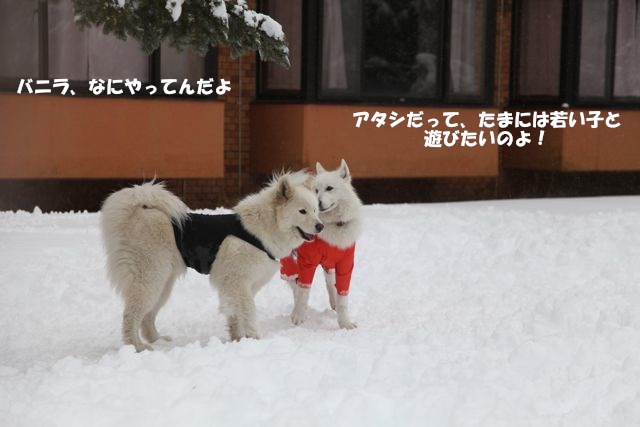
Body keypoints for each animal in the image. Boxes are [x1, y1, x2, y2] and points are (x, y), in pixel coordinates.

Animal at [102, 172, 322, 352]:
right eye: (302, 211)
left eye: (315, 210)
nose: (320, 226)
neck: (260, 229)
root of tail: (138, 209)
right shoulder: (237, 281)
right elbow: (248, 311)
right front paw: (255, 339)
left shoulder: (240, 286)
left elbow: (235, 314)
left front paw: (238, 339)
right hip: (150, 278)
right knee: (131, 315)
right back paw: (136, 347)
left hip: (164, 284)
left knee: (148, 316)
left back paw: (159, 341)